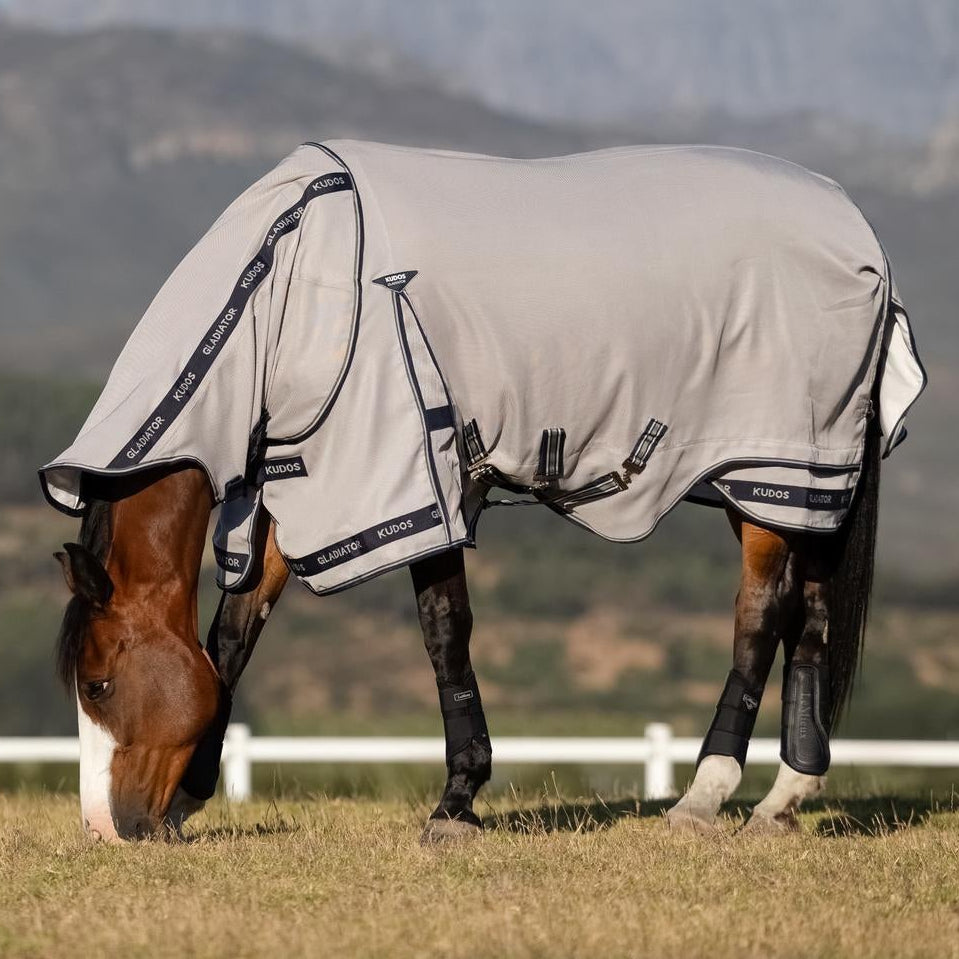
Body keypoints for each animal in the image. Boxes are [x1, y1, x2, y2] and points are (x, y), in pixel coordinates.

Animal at [46, 139, 924, 841]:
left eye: (98, 683)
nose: (105, 827)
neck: (291, 277)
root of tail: (859, 234)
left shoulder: (407, 478)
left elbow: (445, 631)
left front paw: (456, 801)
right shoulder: (304, 484)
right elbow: (228, 638)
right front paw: (192, 796)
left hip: (773, 468)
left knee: (759, 617)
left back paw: (702, 797)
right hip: (787, 489)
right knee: (809, 615)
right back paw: (780, 800)